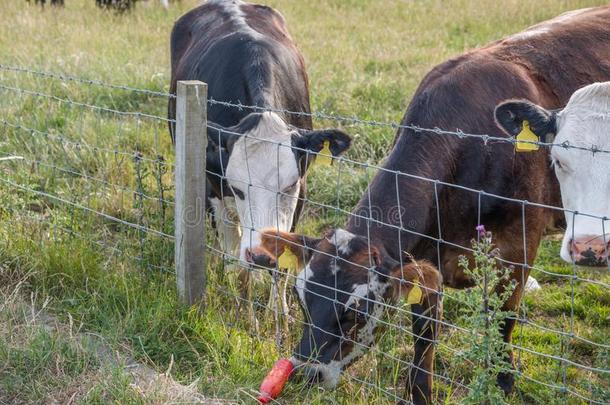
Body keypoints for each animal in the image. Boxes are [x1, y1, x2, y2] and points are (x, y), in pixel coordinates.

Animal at [167, 1, 352, 266]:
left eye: (289, 186)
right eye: (237, 188)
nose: (262, 256)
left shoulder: (300, 193)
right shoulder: (212, 189)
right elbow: (231, 253)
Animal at [245, 4, 604, 402]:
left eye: (358, 313)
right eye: (303, 300)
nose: (307, 373)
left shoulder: (519, 246)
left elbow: (503, 318)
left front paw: (503, 381)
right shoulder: (425, 261)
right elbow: (424, 334)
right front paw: (420, 392)